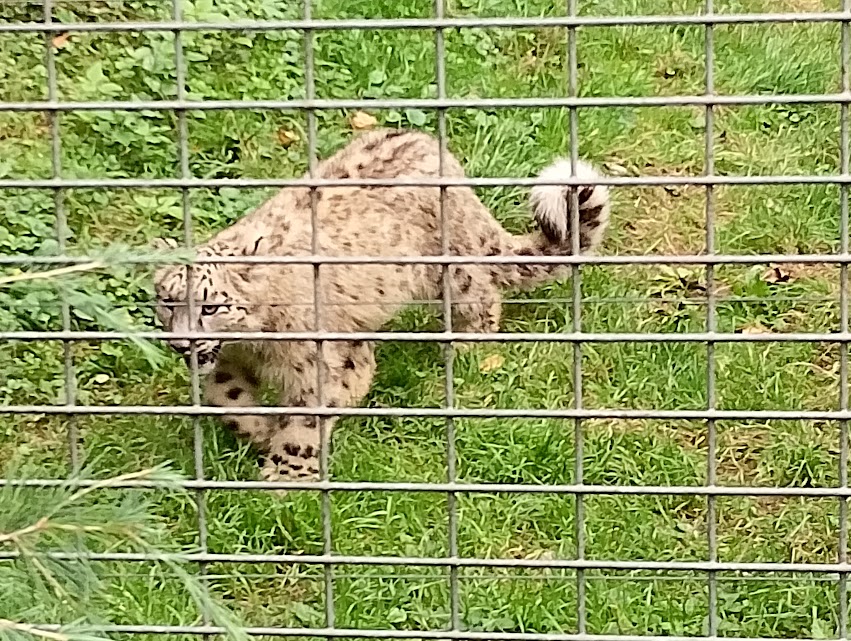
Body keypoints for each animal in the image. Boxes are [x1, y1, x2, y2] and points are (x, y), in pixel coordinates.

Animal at [152, 128, 611, 487]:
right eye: (166, 301)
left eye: (211, 307)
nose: (180, 344)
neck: (252, 343)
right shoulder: (229, 363)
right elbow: (225, 396)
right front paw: (263, 431)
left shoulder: (321, 361)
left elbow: (307, 419)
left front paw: (286, 474)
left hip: (450, 271)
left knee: (482, 294)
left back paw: (466, 346)